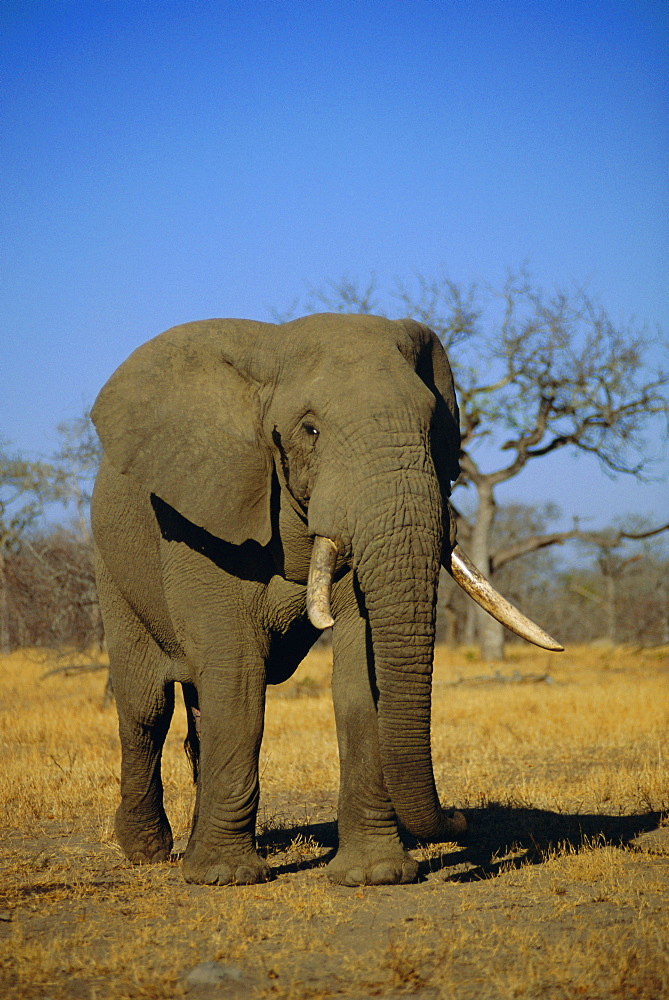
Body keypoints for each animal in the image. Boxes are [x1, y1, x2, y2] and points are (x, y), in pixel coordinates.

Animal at [88, 310, 560, 884]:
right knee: (146, 708)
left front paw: (376, 876)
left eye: (434, 430)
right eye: (310, 430)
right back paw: (149, 851)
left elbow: (359, 674)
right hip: (113, 570)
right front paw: (227, 878)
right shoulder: (198, 519)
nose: (459, 818)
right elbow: (237, 675)